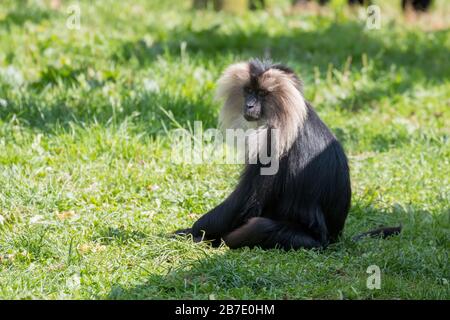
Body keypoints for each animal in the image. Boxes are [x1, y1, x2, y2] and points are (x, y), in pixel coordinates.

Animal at [175, 59, 400, 250]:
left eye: (262, 93)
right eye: (248, 91)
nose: (249, 105)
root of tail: (334, 239)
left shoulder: (271, 141)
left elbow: (246, 202)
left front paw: (191, 232)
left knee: (259, 226)